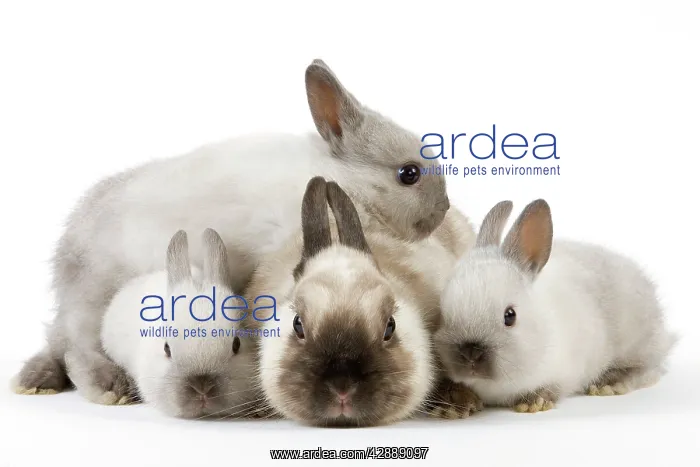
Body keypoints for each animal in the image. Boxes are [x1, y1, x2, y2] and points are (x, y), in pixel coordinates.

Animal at [435, 199, 678, 413]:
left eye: (510, 316)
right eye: (442, 313)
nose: (470, 354)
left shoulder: (567, 372)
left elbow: (552, 388)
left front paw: (534, 402)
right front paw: (456, 405)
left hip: (637, 344)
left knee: (650, 369)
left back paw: (610, 383)